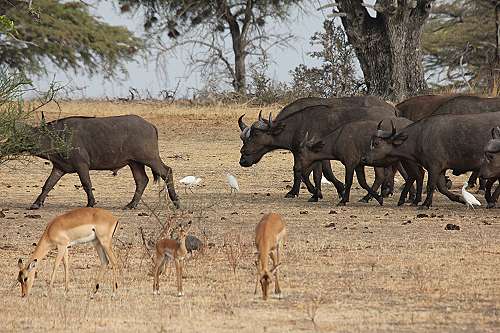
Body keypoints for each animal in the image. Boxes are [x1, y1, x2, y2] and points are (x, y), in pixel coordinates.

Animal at [27, 114, 180, 208]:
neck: (58, 136)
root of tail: (150, 125)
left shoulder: (82, 165)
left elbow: (86, 184)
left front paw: (91, 203)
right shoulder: (59, 168)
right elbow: (48, 184)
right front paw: (36, 203)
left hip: (150, 158)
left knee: (167, 171)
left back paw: (176, 201)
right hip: (134, 162)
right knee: (142, 180)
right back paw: (131, 204)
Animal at [236, 95, 396, 200]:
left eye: (256, 134)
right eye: (243, 138)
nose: (243, 159)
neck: (299, 125)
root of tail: (392, 112)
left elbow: (308, 172)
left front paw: (308, 192)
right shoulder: (308, 154)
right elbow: (312, 172)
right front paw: (320, 192)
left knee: (382, 174)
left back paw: (371, 196)